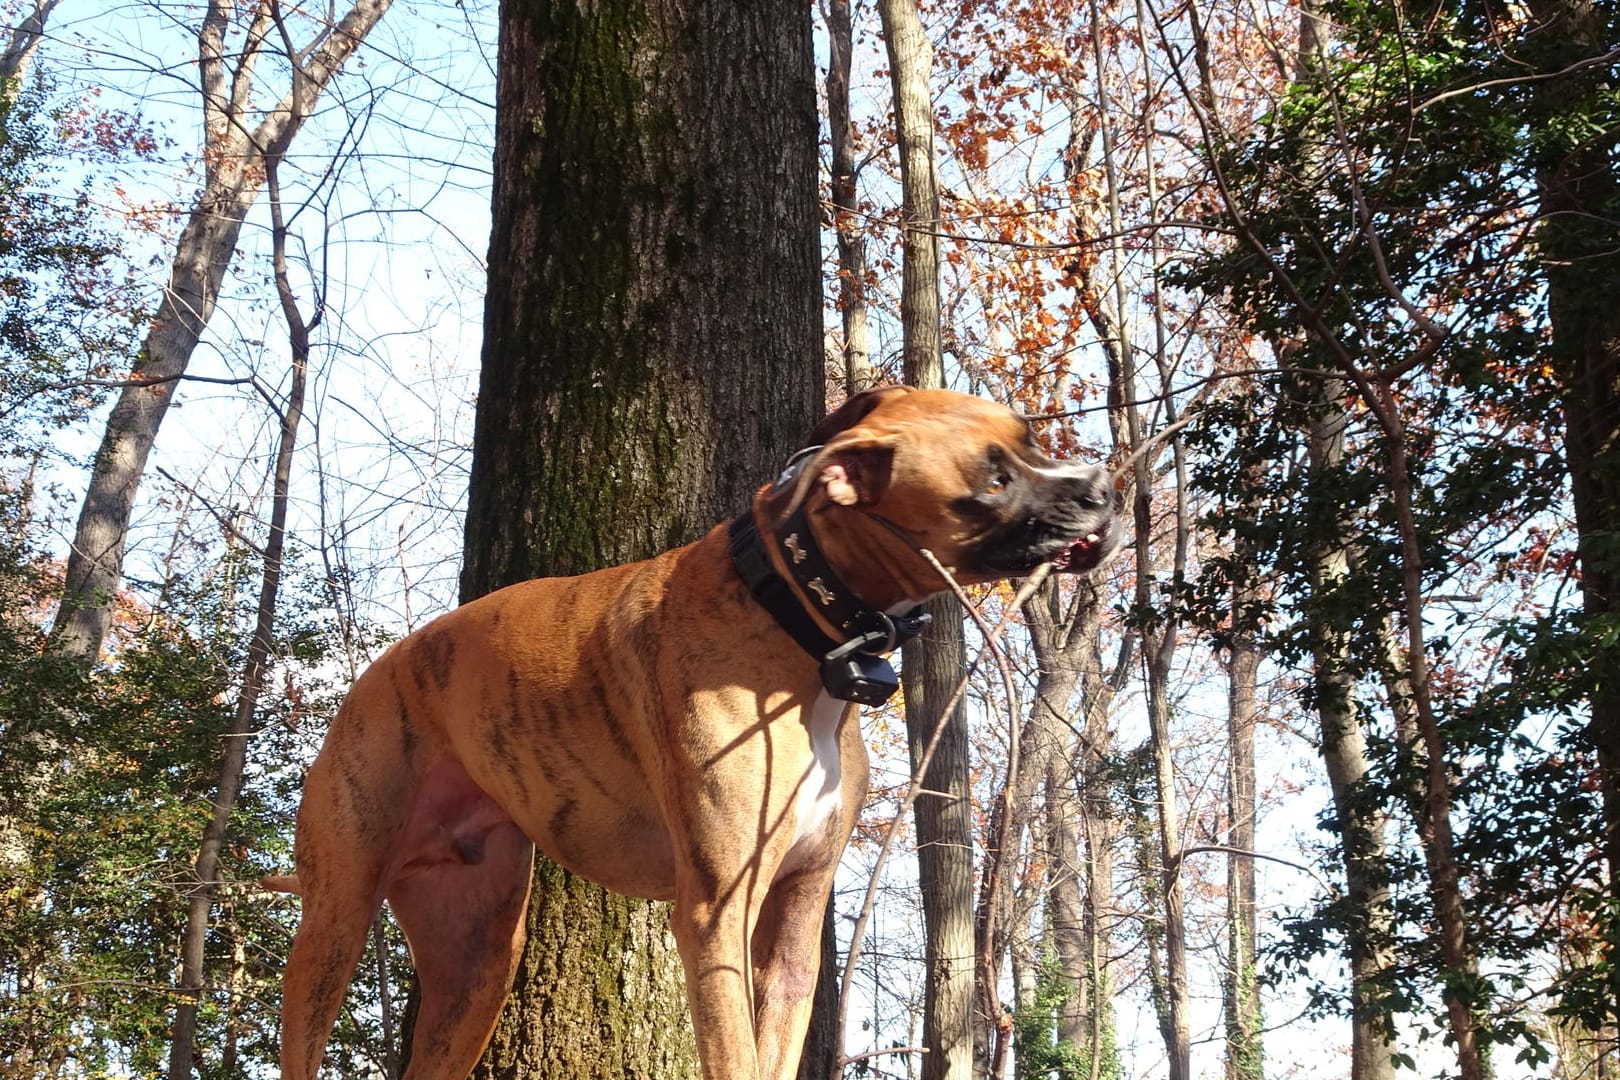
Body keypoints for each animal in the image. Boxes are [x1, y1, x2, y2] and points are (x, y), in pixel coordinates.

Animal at [272, 388, 1121, 1080]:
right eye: (992, 482)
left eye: (1030, 438)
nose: (1104, 486)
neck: (795, 612)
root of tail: (378, 670)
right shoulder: (718, 918)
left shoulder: (794, 929)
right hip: (333, 926)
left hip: (476, 965)